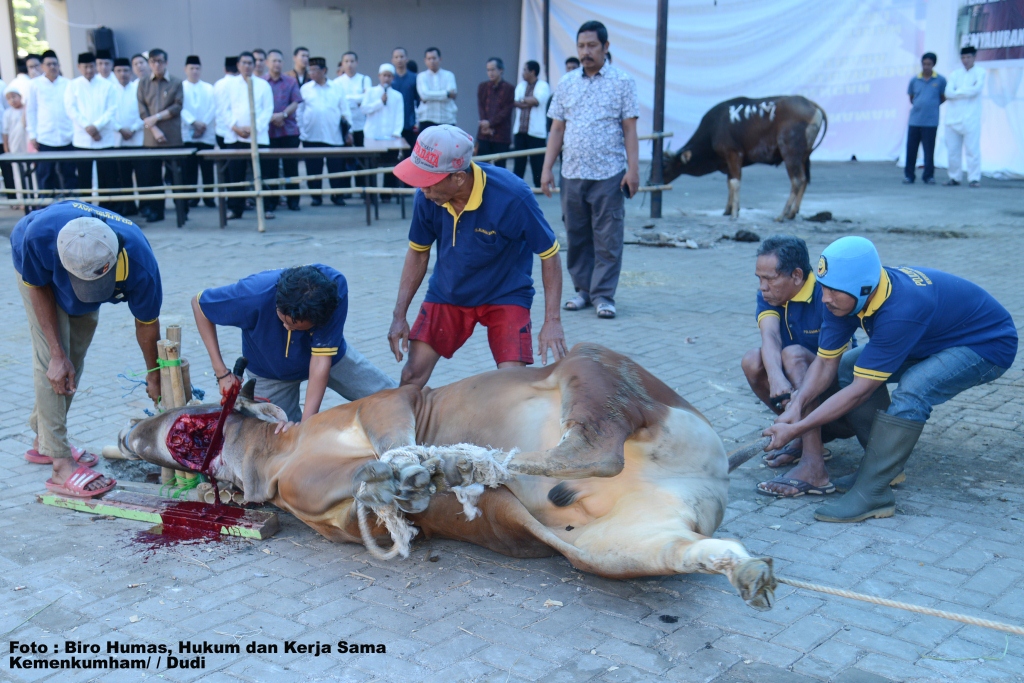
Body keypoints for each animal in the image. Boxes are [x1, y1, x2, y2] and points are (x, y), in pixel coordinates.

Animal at [119, 344, 774, 610]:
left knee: (594, 448)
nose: (128, 432)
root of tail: (712, 476)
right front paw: (404, 488)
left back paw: (473, 462)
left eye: (193, 404)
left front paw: (418, 468)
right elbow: (375, 493)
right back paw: (747, 571)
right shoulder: (325, 508)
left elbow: (394, 444)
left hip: (592, 368)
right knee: (683, 549)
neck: (278, 454)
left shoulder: (388, 402)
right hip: (610, 550)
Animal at [663, 96, 823, 222]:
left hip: (790, 154)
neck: (713, 129)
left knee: (797, 180)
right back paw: (792, 213)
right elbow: (729, 183)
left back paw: (782, 215)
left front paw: (734, 213)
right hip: (803, 156)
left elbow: (735, 183)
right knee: (804, 180)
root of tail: (810, 104)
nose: (656, 181)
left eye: (666, 165)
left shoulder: (734, 155)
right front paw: (729, 209)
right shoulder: (728, 162)